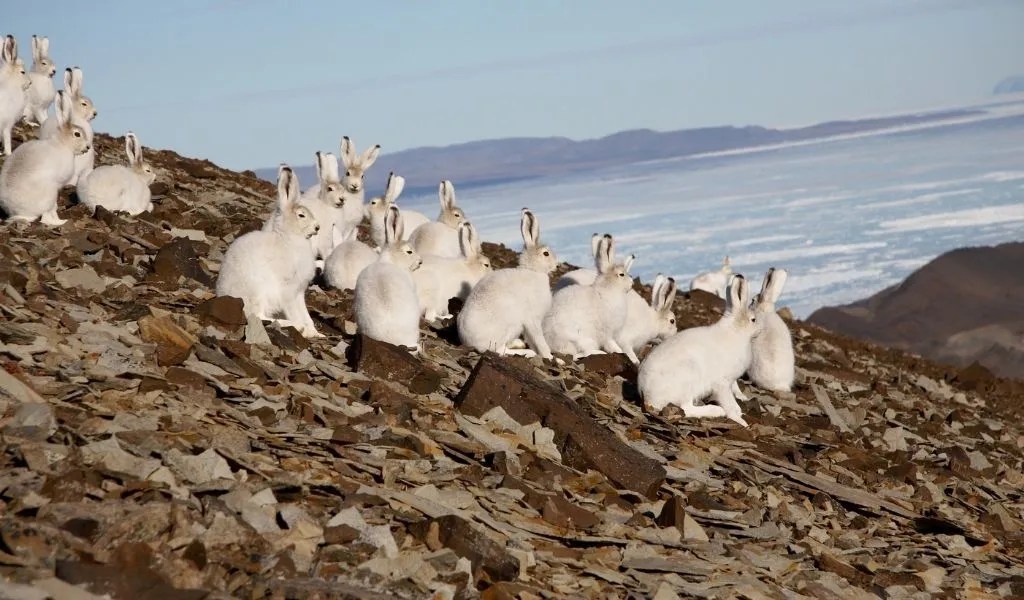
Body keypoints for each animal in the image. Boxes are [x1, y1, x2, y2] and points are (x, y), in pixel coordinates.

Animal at [0, 91, 91, 226]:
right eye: (77, 134)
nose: (87, 147)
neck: (63, 143)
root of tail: (22, 212)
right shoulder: (57, 184)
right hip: (50, 193)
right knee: (45, 217)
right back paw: (61, 222)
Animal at [216, 165, 324, 338]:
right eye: (301, 215)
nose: (317, 227)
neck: (289, 237)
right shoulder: (288, 290)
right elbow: (294, 312)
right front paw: (305, 330)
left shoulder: (299, 291)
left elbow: (306, 315)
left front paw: (316, 333)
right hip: (257, 291)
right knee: (258, 316)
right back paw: (295, 326)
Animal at [458, 208, 558, 359]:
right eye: (546, 253)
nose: (557, 265)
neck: (533, 271)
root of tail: (468, 341)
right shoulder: (532, 320)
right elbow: (540, 341)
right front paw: (552, 358)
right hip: (508, 326)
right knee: (500, 350)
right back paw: (527, 352)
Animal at [543, 234, 637, 363]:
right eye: (621, 274)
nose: (632, 284)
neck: (608, 289)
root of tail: (552, 343)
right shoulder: (607, 332)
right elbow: (611, 343)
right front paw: (619, 351)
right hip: (583, 338)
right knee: (581, 353)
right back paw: (600, 352)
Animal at [638, 275, 758, 427]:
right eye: (753, 320)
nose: (760, 330)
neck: (736, 331)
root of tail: (646, 396)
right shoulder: (722, 384)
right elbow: (729, 404)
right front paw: (742, 422)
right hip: (688, 377)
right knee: (686, 408)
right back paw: (716, 411)